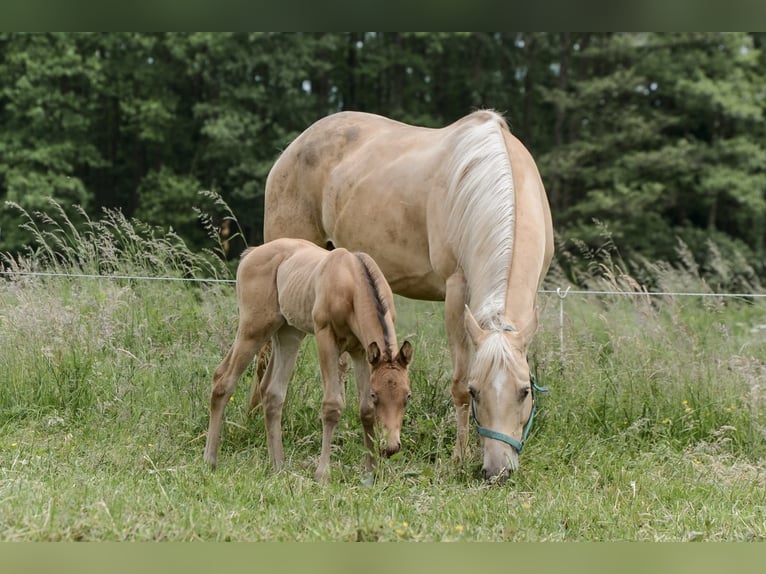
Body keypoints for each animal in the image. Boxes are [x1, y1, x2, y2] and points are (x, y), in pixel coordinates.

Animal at [201, 236, 412, 484]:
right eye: (377, 395)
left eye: (407, 396)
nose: (391, 448)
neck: (352, 280)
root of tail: (250, 254)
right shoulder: (326, 337)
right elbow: (332, 406)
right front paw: (322, 474)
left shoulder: (361, 351)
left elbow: (365, 411)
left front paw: (371, 474)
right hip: (253, 328)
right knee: (223, 381)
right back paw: (210, 460)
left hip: (287, 333)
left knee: (271, 391)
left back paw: (278, 466)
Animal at [262, 110, 552, 484]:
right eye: (477, 391)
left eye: (525, 391)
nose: (497, 471)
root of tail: (294, 147)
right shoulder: (456, 292)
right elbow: (457, 382)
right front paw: (458, 457)